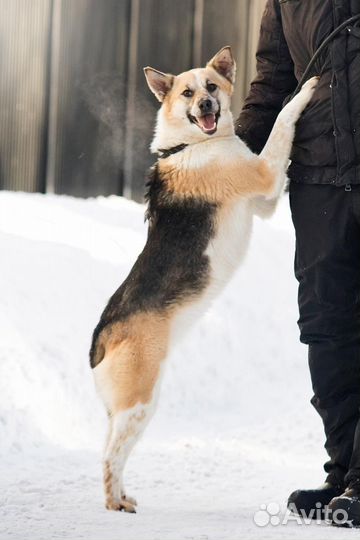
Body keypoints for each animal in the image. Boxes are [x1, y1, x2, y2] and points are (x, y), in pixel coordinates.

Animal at [90, 45, 318, 510]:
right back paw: (115, 503)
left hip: (130, 410)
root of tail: (102, 337)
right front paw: (305, 89)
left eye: (212, 86)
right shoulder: (265, 173)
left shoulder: (264, 201)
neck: (190, 144)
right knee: (108, 458)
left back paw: (123, 496)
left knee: (112, 452)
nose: (207, 106)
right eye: (187, 93)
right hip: (140, 402)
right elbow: (283, 122)